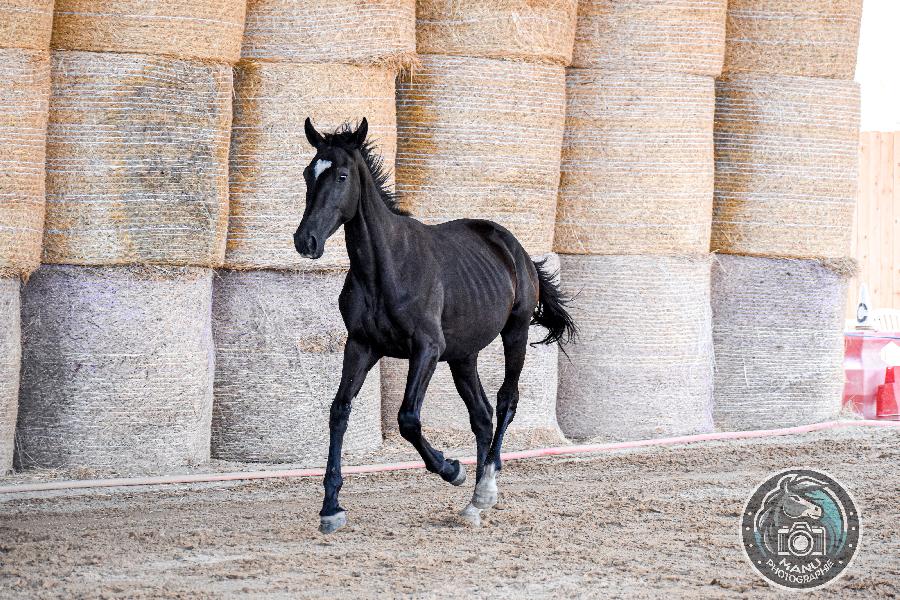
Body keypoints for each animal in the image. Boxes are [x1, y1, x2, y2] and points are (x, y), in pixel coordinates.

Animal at [294, 118, 577, 533]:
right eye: (308, 173)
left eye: (342, 176)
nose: (306, 241)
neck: (387, 269)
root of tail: (516, 249)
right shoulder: (361, 345)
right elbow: (340, 410)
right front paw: (331, 508)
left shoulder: (426, 349)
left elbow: (408, 418)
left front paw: (451, 468)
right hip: (464, 356)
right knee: (481, 415)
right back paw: (474, 504)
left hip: (516, 333)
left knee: (505, 401)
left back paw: (484, 489)